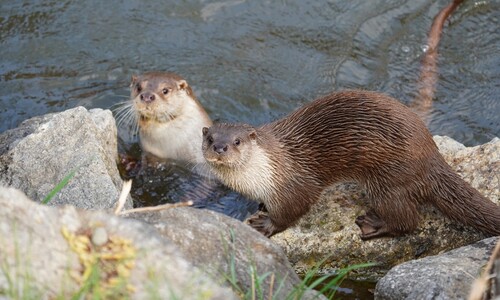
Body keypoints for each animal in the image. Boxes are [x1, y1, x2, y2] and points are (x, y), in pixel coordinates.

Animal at [200, 90, 500, 240]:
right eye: (210, 137)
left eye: (237, 141)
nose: (220, 147)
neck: (260, 175)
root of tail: (431, 154)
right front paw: (262, 207)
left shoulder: (294, 184)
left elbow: (294, 208)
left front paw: (265, 224)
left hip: (387, 180)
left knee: (408, 221)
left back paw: (374, 225)